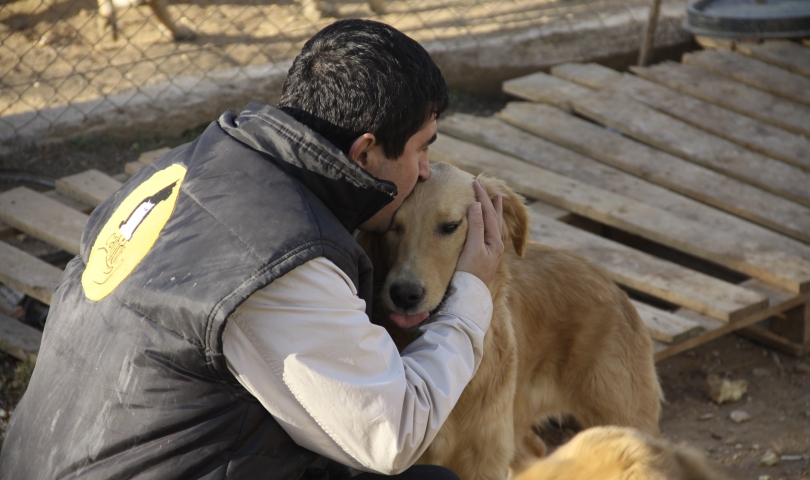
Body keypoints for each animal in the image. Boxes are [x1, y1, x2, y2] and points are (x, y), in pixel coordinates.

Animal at [360, 163, 664, 478]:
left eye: (450, 226)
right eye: (392, 227)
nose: (404, 294)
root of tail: (616, 289)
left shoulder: (485, 458)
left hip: (625, 418)